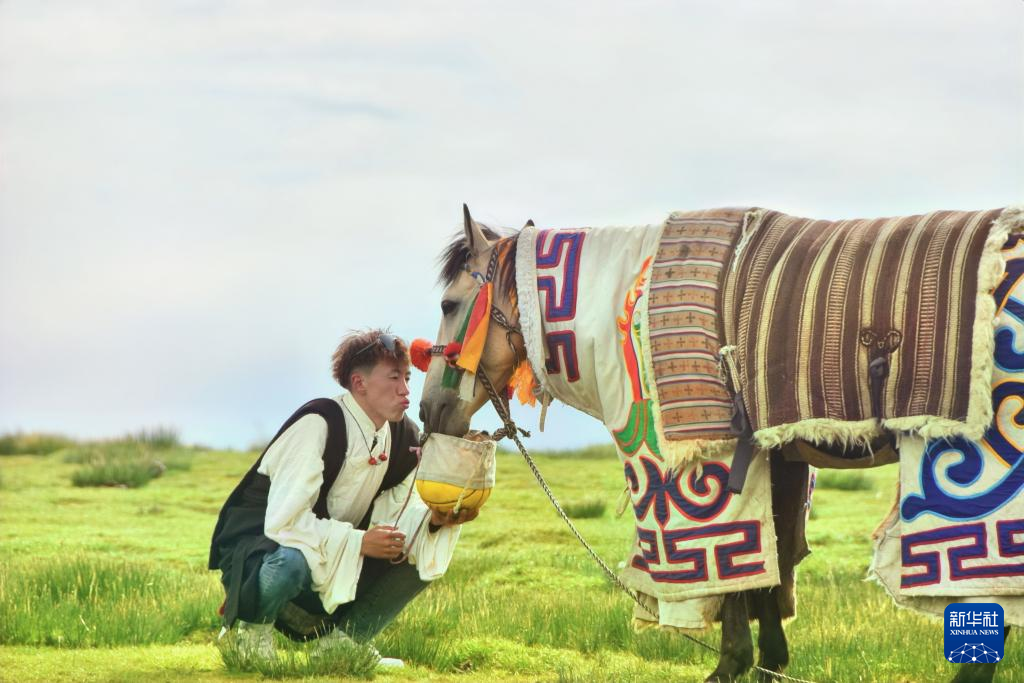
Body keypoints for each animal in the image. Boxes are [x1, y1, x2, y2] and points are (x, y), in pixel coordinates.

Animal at [419, 205, 1019, 683]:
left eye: (449, 305)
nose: (429, 412)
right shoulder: (775, 456)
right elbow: (770, 561)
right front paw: (768, 664)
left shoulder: (710, 457)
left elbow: (735, 568)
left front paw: (732, 664)